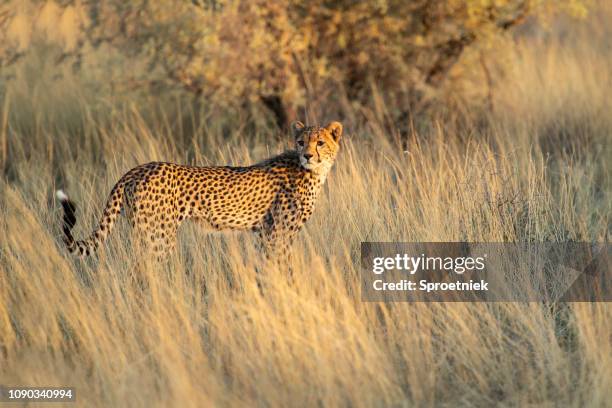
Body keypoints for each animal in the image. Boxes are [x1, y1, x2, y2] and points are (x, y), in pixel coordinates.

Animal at [56, 121, 344, 260]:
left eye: (320, 142)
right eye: (301, 142)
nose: (308, 155)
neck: (312, 172)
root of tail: (138, 168)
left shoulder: (265, 234)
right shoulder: (278, 234)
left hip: (144, 233)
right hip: (159, 237)